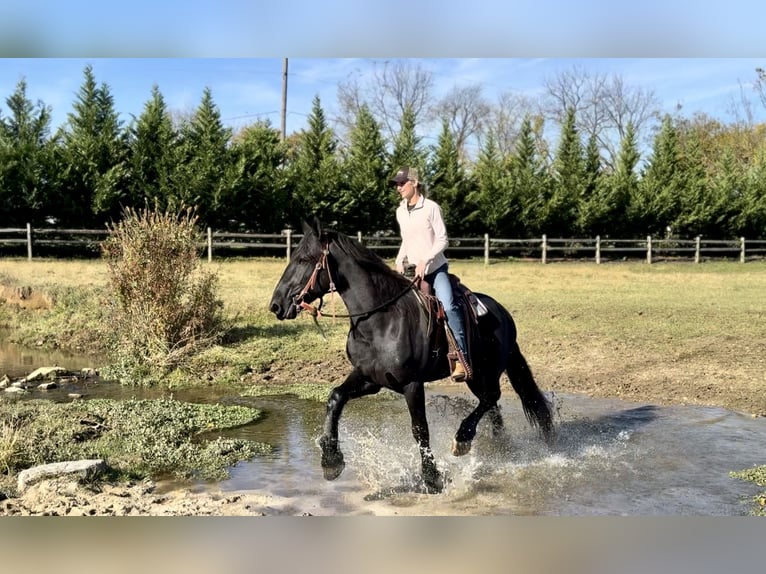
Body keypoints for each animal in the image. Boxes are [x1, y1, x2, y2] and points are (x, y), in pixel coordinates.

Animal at [269, 218, 554, 493]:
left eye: (304, 259)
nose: (276, 305)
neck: (381, 321)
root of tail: (502, 313)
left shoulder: (411, 384)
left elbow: (420, 430)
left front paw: (432, 479)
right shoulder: (370, 379)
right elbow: (335, 397)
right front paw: (331, 460)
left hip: (485, 371)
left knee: (490, 397)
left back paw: (462, 440)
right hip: (479, 376)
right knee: (491, 404)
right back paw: (496, 445)